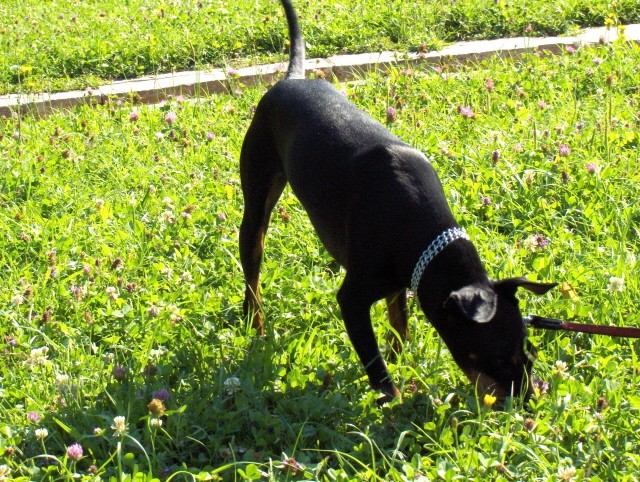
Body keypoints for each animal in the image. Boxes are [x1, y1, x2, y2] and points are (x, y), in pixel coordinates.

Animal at [240, 0, 556, 402]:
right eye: (499, 358)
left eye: (527, 352)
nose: (528, 404)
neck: (423, 234)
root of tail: (291, 80)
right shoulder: (353, 300)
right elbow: (378, 370)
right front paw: (396, 403)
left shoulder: (400, 281)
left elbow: (399, 330)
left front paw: (404, 365)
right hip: (256, 207)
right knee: (252, 271)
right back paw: (256, 325)